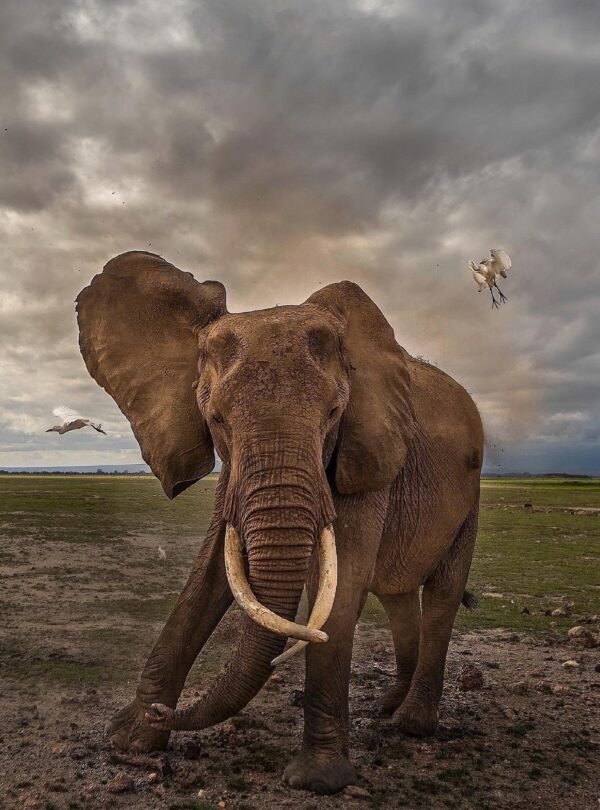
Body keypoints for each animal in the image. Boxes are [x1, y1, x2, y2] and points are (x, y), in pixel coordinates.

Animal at [76, 250, 483, 795]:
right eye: (216, 420)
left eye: (333, 413)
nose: (162, 711)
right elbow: (211, 571)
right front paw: (131, 740)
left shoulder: (364, 446)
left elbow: (342, 583)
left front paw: (317, 780)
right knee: (397, 598)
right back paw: (387, 707)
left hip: (470, 497)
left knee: (441, 595)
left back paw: (412, 725)